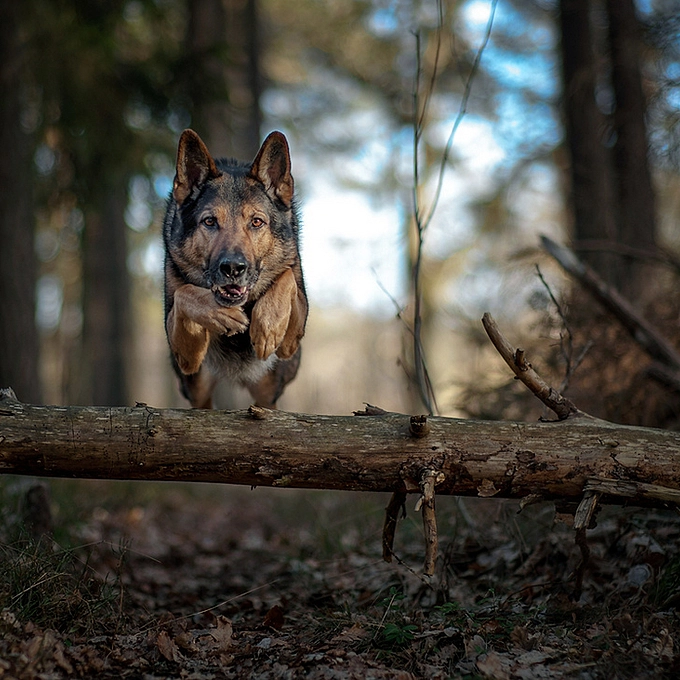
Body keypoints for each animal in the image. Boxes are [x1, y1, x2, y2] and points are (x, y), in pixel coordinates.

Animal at [163, 129, 308, 409]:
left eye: (256, 222)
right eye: (209, 221)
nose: (233, 268)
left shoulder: (290, 342)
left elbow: (286, 277)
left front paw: (267, 326)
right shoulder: (186, 357)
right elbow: (185, 292)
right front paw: (220, 314)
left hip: (269, 388)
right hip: (197, 385)